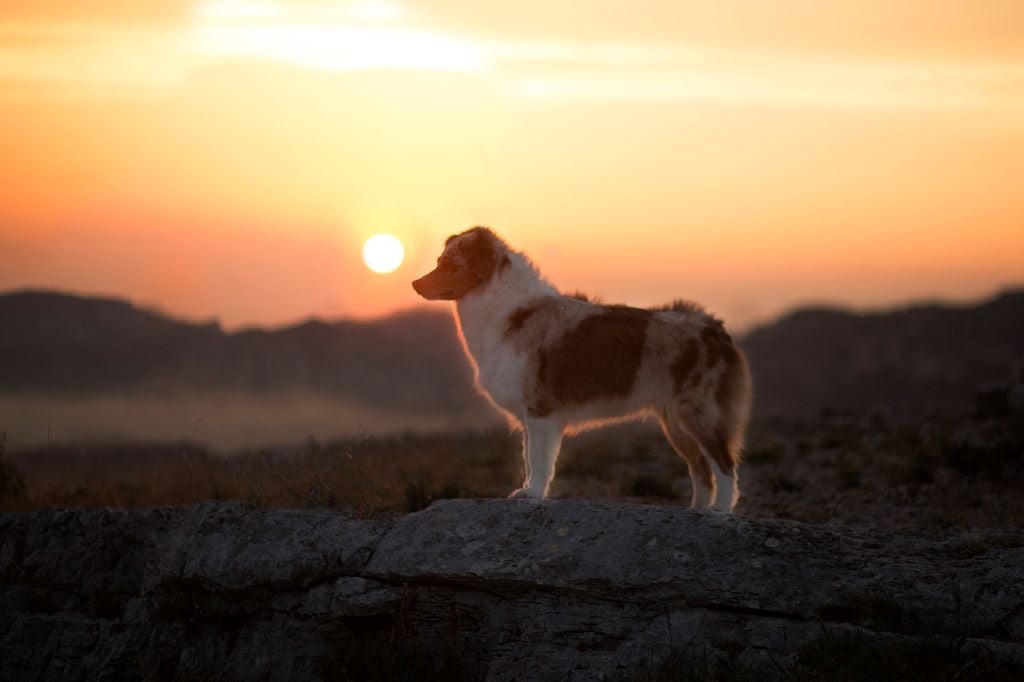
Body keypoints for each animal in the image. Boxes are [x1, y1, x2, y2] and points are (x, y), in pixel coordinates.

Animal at [409, 227, 753, 509]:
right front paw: (526, 490)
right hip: (675, 423)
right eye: (439, 261)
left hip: (700, 412)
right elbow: (528, 458)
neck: (505, 308)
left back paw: (719, 513)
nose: (414, 283)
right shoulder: (529, 416)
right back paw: (697, 511)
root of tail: (716, 329)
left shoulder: (540, 411)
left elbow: (540, 460)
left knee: (724, 467)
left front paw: (533, 495)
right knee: (701, 470)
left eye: (451, 265)